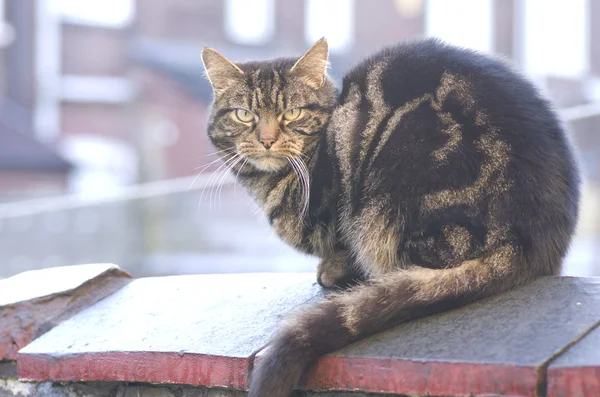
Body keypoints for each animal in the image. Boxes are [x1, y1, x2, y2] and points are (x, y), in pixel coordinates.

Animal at [202, 38, 580, 396]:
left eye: (292, 113)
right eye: (244, 115)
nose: (266, 140)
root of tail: (528, 239)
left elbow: (341, 245)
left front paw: (333, 268)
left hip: (394, 194)